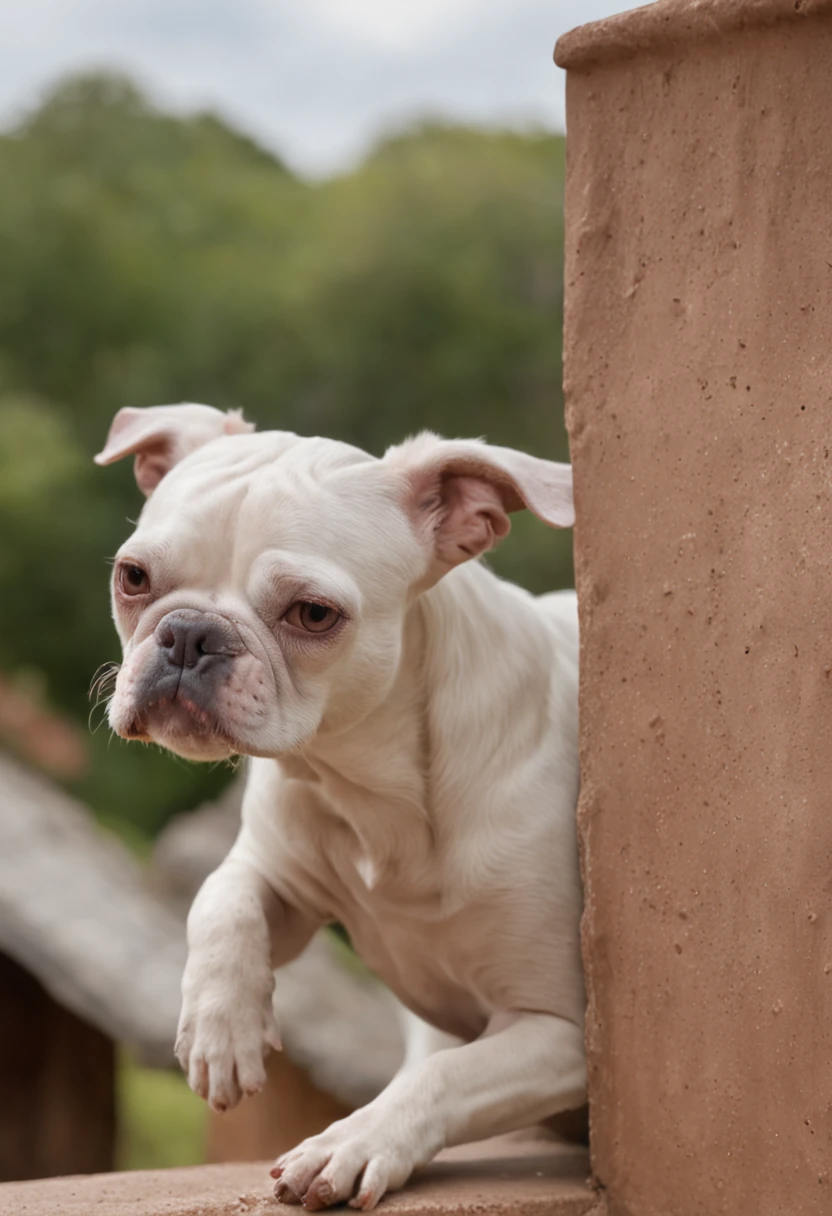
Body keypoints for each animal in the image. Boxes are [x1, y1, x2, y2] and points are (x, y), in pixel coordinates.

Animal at [96, 401, 583, 1206]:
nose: (189, 634)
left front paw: (353, 1142)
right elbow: (220, 897)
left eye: (314, 614)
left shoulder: (561, 1030)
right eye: (133, 577)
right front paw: (219, 1028)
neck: (369, 785)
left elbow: (445, 1076)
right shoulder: (281, 882)